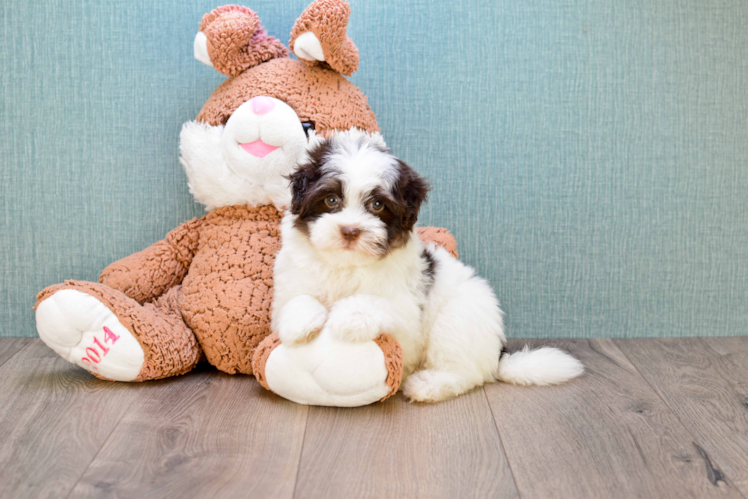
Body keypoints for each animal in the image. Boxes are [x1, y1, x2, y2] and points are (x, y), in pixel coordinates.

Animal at [270, 129, 584, 402]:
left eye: (377, 205)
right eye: (331, 199)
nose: (350, 231)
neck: (346, 266)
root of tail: (498, 355)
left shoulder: (405, 310)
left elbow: (376, 302)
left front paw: (348, 317)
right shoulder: (291, 279)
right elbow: (297, 298)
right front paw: (299, 322)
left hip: (456, 321)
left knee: (465, 372)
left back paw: (428, 385)